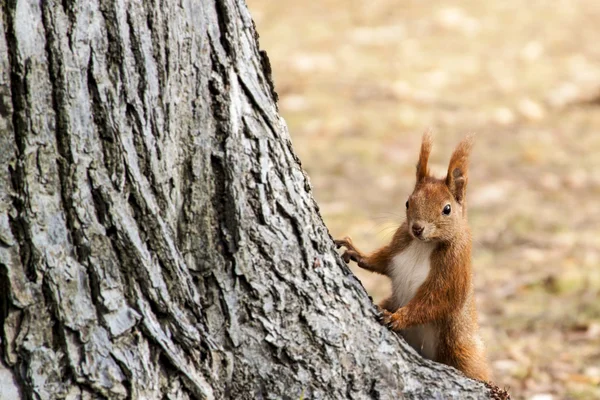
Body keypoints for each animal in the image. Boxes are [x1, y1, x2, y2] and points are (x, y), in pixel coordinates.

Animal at [336, 133, 490, 380]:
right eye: (408, 202)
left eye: (447, 209)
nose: (417, 228)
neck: (421, 245)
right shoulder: (397, 248)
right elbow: (381, 261)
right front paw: (357, 252)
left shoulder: (453, 267)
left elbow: (435, 301)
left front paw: (397, 318)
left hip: (457, 347)